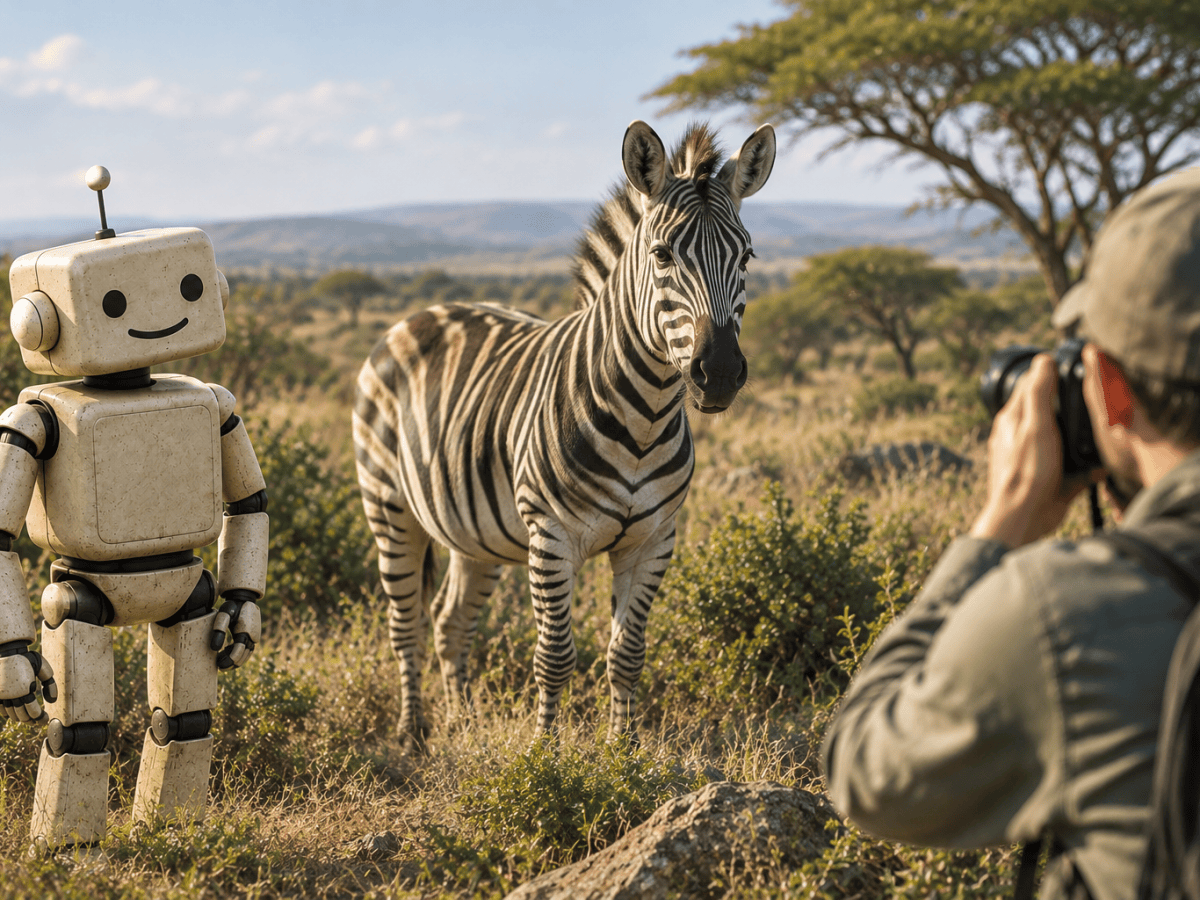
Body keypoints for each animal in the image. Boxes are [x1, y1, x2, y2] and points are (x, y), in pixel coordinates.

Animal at [353, 120, 775, 750]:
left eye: (746, 256)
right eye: (662, 255)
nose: (719, 372)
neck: (645, 416)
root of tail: (421, 313)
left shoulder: (654, 540)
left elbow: (627, 653)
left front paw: (623, 751)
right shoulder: (551, 535)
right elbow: (555, 657)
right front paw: (545, 756)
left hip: (473, 533)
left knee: (451, 621)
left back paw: (462, 721)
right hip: (389, 505)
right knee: (406, 625)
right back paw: (413, 732)